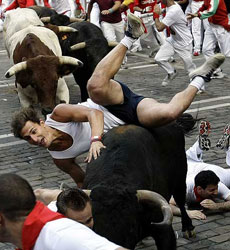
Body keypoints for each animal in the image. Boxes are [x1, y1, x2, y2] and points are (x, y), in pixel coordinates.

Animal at [83, 116, 196, 249]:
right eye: (95, 229)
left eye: (131, 227)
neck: (114, 179)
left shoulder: (163, 230)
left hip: (180, 176)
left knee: (180, 200)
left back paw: (188, 228)